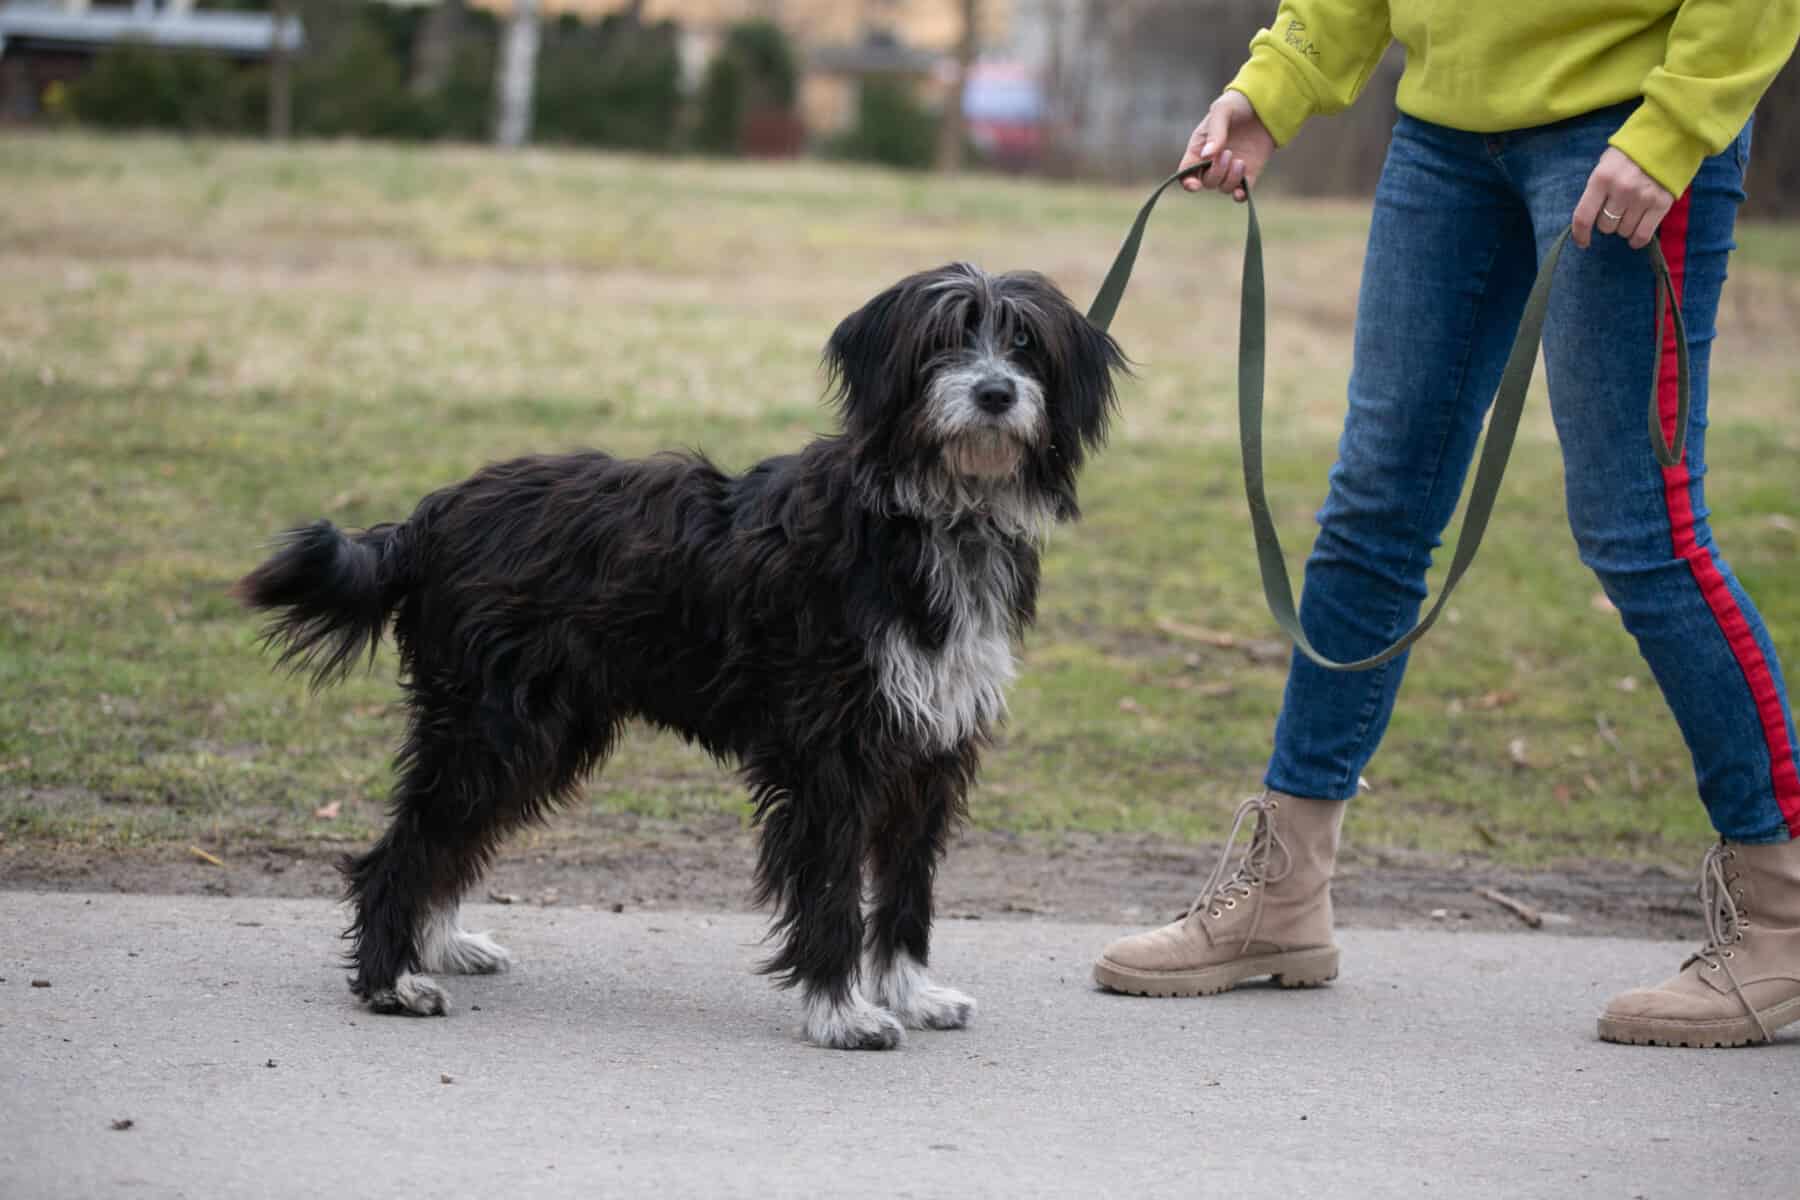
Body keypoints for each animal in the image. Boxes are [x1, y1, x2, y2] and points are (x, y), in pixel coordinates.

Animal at [236, 262, 1124, 1049]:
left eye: (1025, 343)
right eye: (943, 340)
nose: (995, 393)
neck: (928, 515)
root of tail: (432, 515)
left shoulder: (930, 751)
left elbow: (907, 887)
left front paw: (910, 992)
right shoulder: (831, 752)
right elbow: (833, 887)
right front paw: (841, 1013)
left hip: (539, 730)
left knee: (450, 837)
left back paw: (439, 942)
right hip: (493, 723)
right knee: (406, 847)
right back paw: (391, 980)